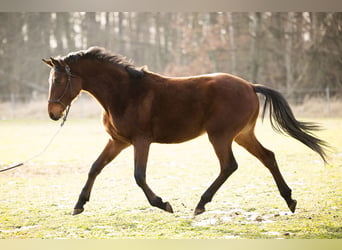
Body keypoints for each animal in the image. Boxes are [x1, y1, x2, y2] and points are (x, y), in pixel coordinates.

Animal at [41, 46, 328, 215]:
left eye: (59, 80)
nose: (53, 113)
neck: (124, 93)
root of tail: (249, 85)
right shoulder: (117, 141)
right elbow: (95, 168)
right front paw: (79, 205)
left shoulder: (141, 141)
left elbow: (139, 176)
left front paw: (163, 204)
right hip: (243, 135)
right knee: (268, 157)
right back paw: (289, 200)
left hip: (221, 136)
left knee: (229, 166)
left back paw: (201, 204)